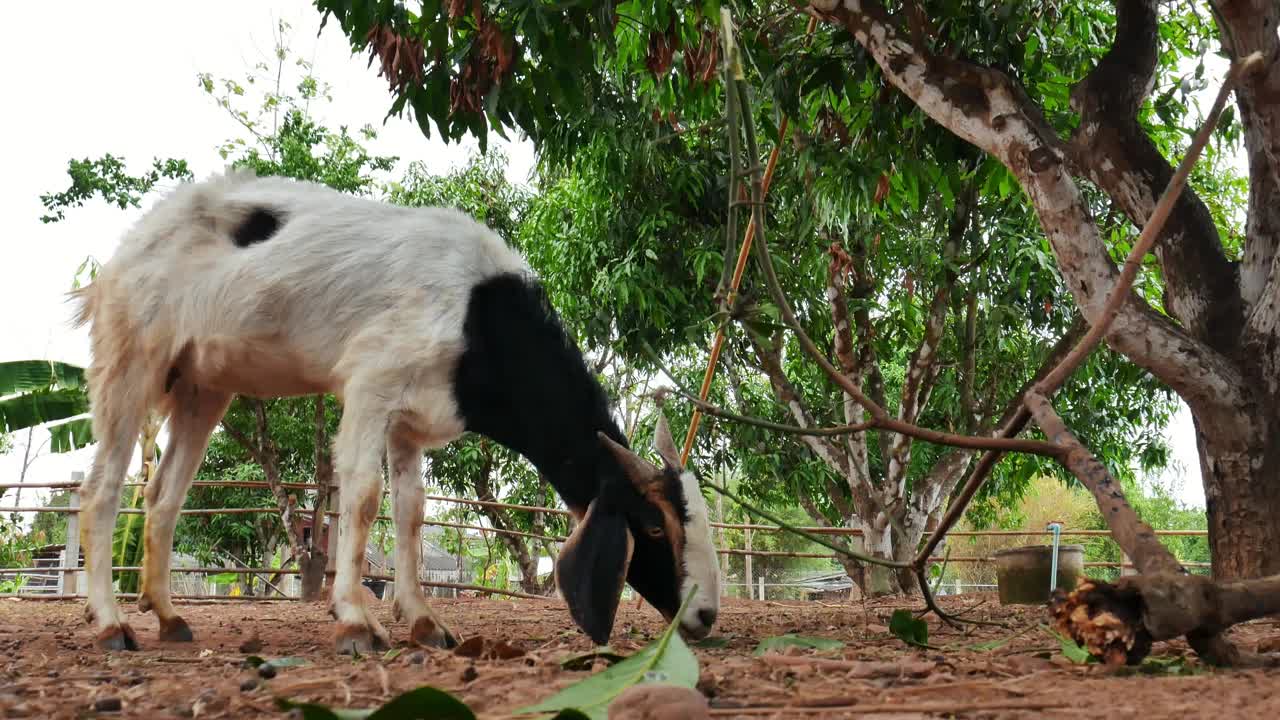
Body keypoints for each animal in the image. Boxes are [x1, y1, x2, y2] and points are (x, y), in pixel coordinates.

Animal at [72, 169, 721, 650]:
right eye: (652, 526)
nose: (706, 616)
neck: (479, 316)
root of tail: (130, 247)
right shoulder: (371, 382)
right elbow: (362, 496)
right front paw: (356, 620)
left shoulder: (411, 421)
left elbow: (411, 512)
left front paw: (425, 620)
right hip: (131, 357)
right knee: (102, 488)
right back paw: (111, 623)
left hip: (202, 387)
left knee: (163, 495)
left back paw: (167, 615)